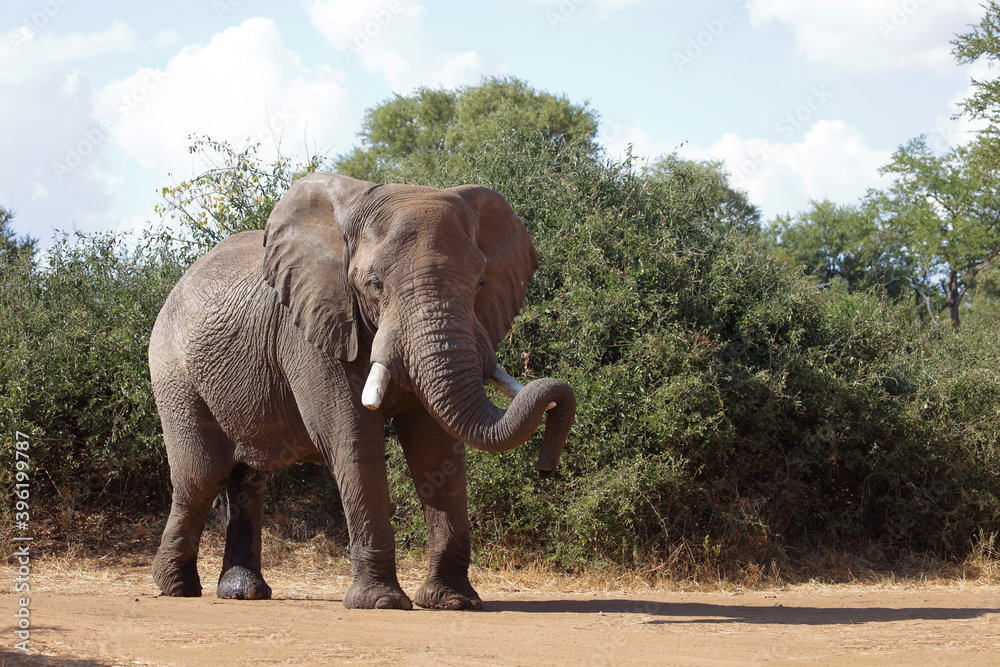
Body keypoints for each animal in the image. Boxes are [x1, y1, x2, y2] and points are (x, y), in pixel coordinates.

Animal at [148, 173, 576, 610]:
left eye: (481, 283)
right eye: (374, 285)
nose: (545, 467)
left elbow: (434, 446)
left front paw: (452, 602)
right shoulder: (312, 330)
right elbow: (354, 438)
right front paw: (381, 603)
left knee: (247, 478)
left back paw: (244, 592)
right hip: (173, 371)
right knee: (202, 476)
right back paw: (176, 587)